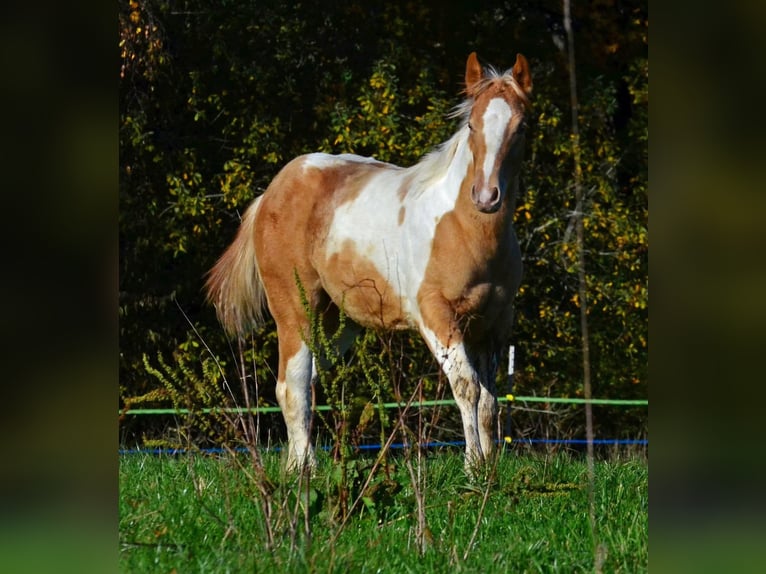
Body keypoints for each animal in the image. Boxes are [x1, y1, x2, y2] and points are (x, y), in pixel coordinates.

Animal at [206, 52, 533, 471]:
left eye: (521, 127)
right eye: (472, 124)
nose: (486, 197)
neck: (463, 228)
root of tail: (271, 193)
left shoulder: (494, 323)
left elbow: (490, 402)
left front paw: (489, 465)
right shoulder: (436, 316)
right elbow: (466, 388)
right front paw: (473, 466)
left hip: (335, 322)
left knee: (308, 381)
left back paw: (302, 462)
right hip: (294, 311)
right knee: (291, 383)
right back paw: (304, 468)